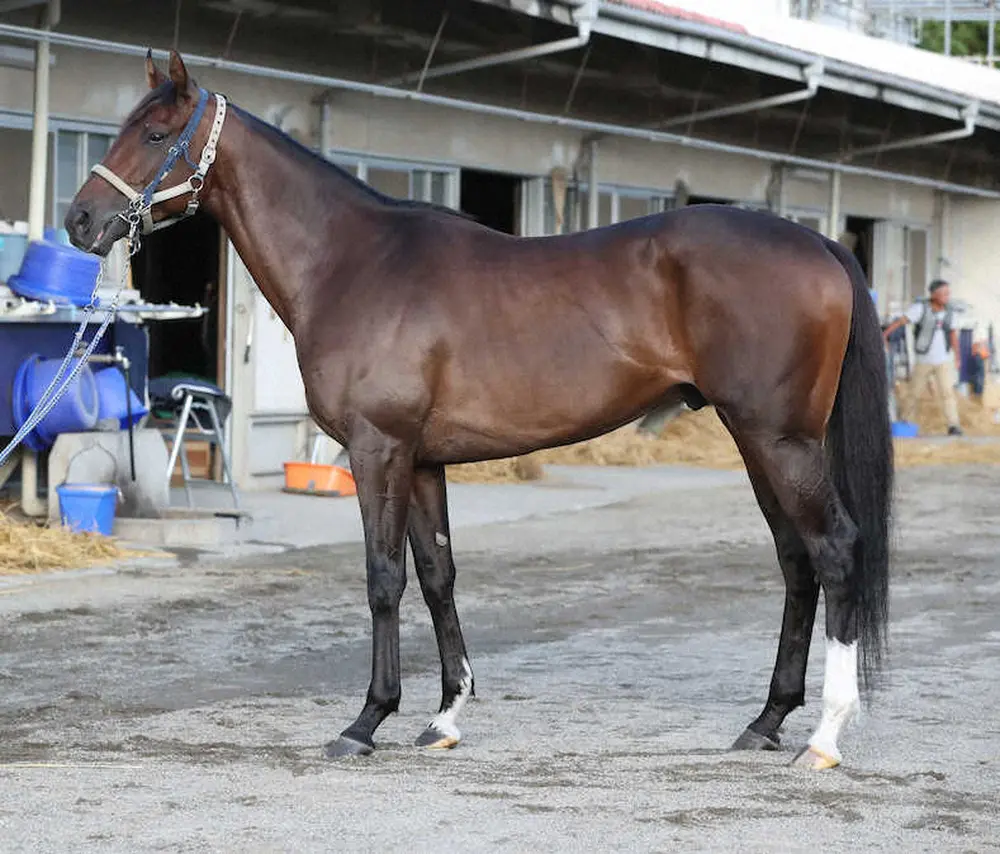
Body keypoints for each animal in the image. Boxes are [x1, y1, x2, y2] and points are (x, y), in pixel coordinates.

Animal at [66, 53, 892, 776]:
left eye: (152, 133)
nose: (79, 221)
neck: (352, 262)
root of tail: (818, 241)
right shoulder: (424, 459)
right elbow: (438, 575)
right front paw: (443, 717)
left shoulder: (378, 450)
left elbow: (383, 578)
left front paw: (366, 721)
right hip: (759, 443)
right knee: (796, 562)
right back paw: (765, 721)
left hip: (779, 440)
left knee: (836, 550)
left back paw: (824, 737)